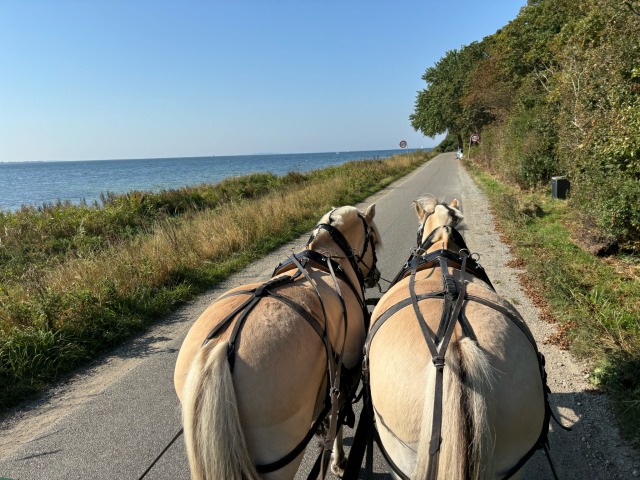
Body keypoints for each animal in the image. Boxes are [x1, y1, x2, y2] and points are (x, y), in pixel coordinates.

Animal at [174, 204, 380, 478]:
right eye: (374, 239)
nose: (375, 275)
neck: (330, 259)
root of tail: (221, 346)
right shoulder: (343, 379)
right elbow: (336, 421)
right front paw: (338, 460)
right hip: (281, 453)